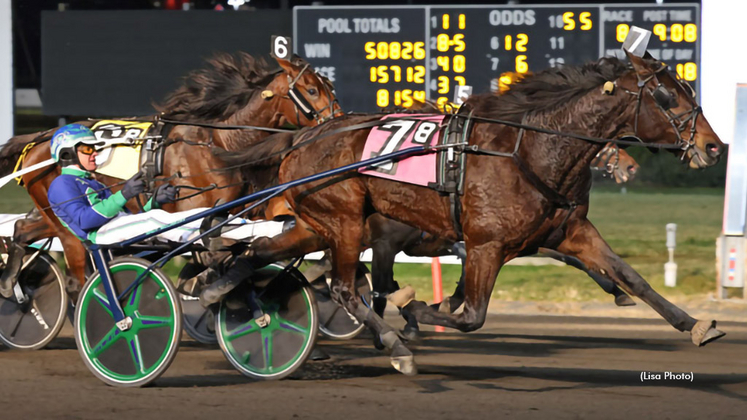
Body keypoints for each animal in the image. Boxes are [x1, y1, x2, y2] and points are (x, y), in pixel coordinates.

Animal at [0, 53, 340, 298]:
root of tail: (40, 140)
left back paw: (8, 283)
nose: (338, 123)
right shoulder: (193, 212)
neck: (219, 144)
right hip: (66, 223)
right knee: (75, 276)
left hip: (50, 214)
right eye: (312, 90)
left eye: (329, 87)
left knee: (22, 229)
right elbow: (209, 253)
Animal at [224, 53, 724, 374]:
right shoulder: (487, 243)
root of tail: (303, 137)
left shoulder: (569, 230)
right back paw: (392, 343)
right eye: (667, 96)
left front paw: (695, 324)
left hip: (317, 224)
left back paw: (226, 293)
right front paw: (414, 310)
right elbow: (470, 315)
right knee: (343, 288)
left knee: (255, 252)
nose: (714, 146)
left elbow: (630, 276)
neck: (532, 149)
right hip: (344, 221)